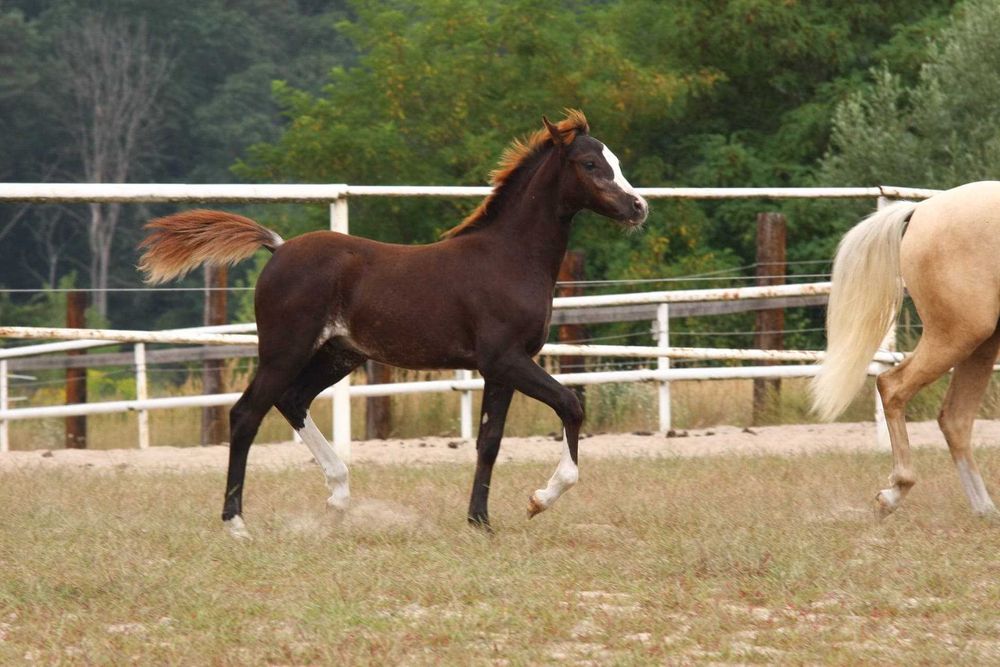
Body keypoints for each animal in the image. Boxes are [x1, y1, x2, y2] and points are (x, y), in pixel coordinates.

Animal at [139, 109, 648, 536]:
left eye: (617, 161)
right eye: (590, 164)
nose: (639, 208)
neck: (508, 257)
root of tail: (279, 247)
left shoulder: (500, 369)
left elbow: (489, 441)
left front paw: (479, 521)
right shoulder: (507, 360)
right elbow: (570, 405)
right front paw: (539, 499)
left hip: (338, 354)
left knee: (293, 400)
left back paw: (338, 497)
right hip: (285, 350)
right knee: (246, 414)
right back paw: (237, 523)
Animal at [812, 181, 1000, 516]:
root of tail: (921, 210)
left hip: (981, 342)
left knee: (956, 418)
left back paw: (985, 509)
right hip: (960, 335)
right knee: (893, 386)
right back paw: (894, 493)